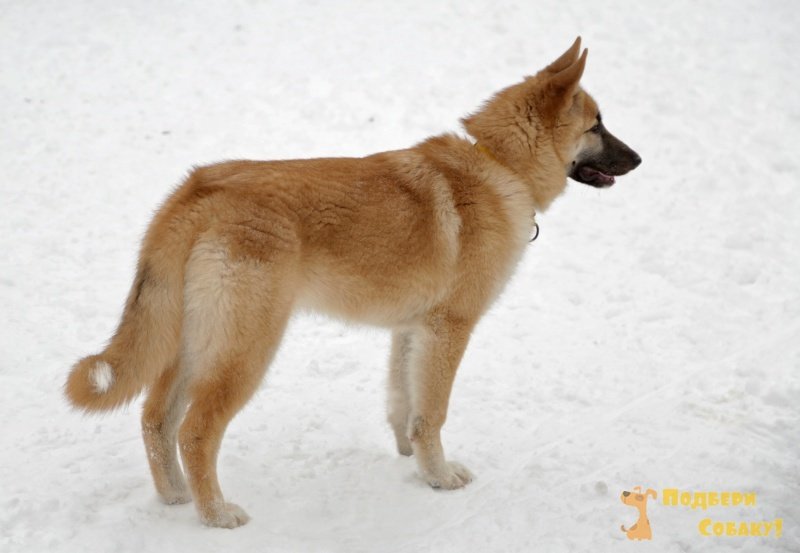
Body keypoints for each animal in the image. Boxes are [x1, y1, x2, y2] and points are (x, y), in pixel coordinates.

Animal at [62, 36, 640, 528]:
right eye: (597, 125)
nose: (638, 159)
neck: (499, 166)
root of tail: (197, 192)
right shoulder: (449, 329)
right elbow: (433, 412)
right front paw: (440, 478)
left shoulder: (412, 332)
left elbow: (405, 407)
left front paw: (414, 464)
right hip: (243, 351)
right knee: (195, 430)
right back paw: (215, 514)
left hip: (192, 341)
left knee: (155, 420)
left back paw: (174, 497)